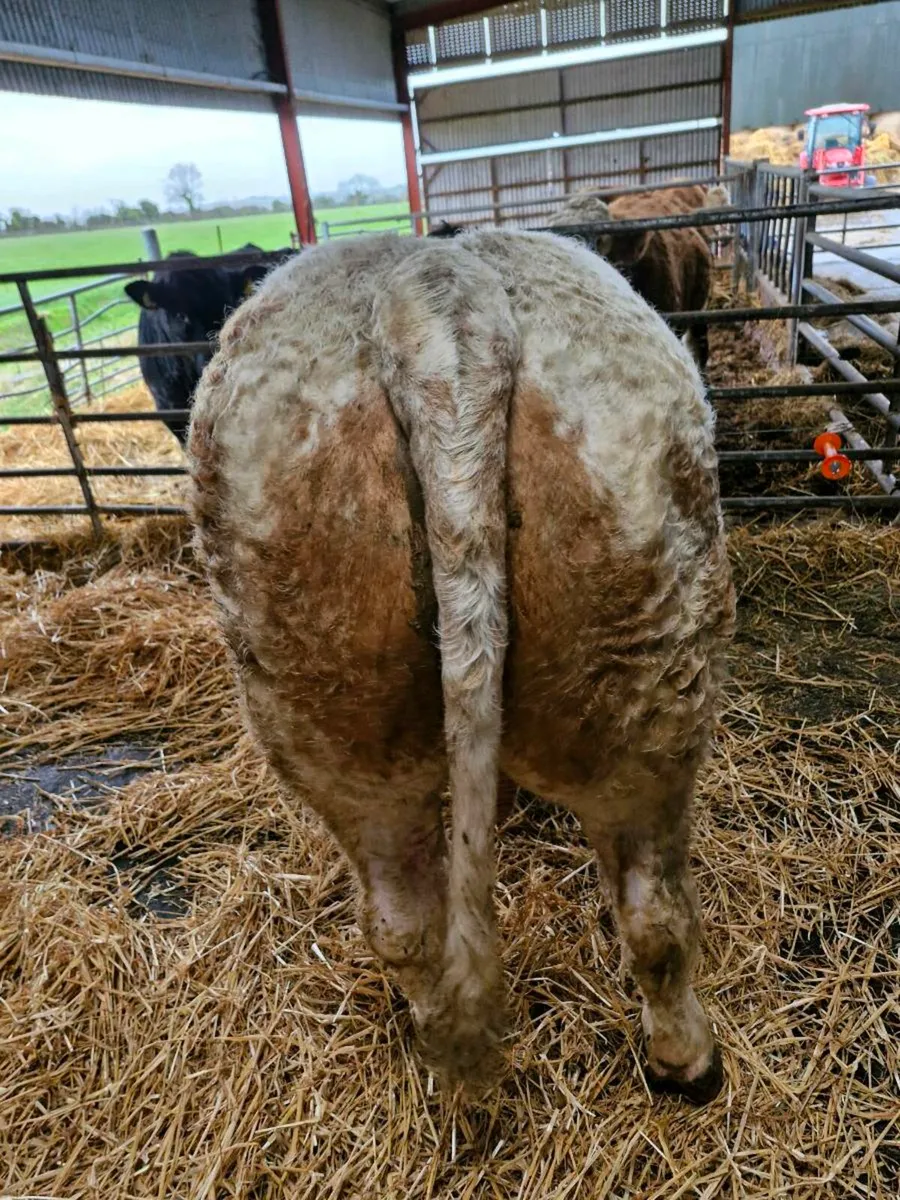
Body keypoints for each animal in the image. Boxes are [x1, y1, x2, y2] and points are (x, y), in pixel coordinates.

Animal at [187, 230, 735, 1104]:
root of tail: (439, 301)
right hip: (650, 681)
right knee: (655, 916)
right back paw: (688, 1061)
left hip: (324, 707)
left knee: (401, 921)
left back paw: (438, 1035)